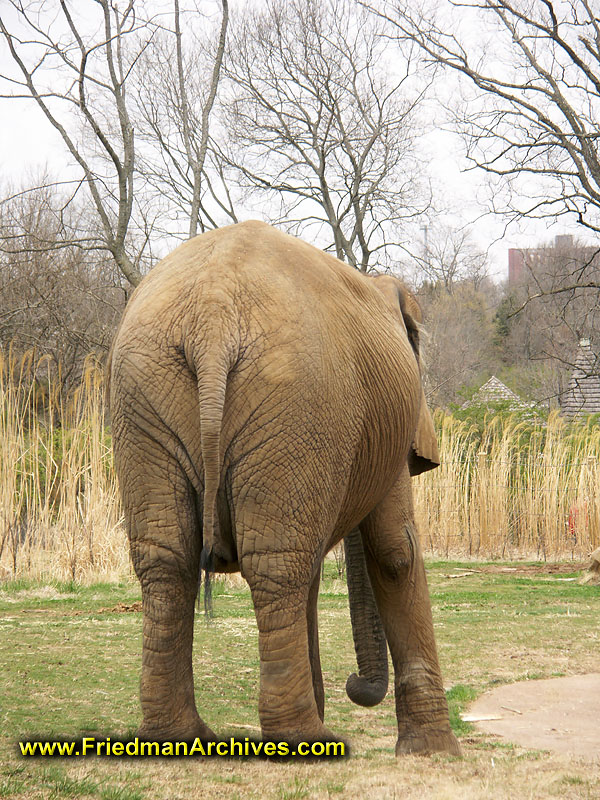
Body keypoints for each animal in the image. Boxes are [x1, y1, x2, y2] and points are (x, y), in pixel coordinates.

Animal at [108, 219, 462, 756]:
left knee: (170, 560)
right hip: (294, 399)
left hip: (146, 398)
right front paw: (437, 754)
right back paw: (306, 741)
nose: (354, 684)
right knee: (279, 564)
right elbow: (395, 552)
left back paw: (183, 738)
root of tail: (213, 315)